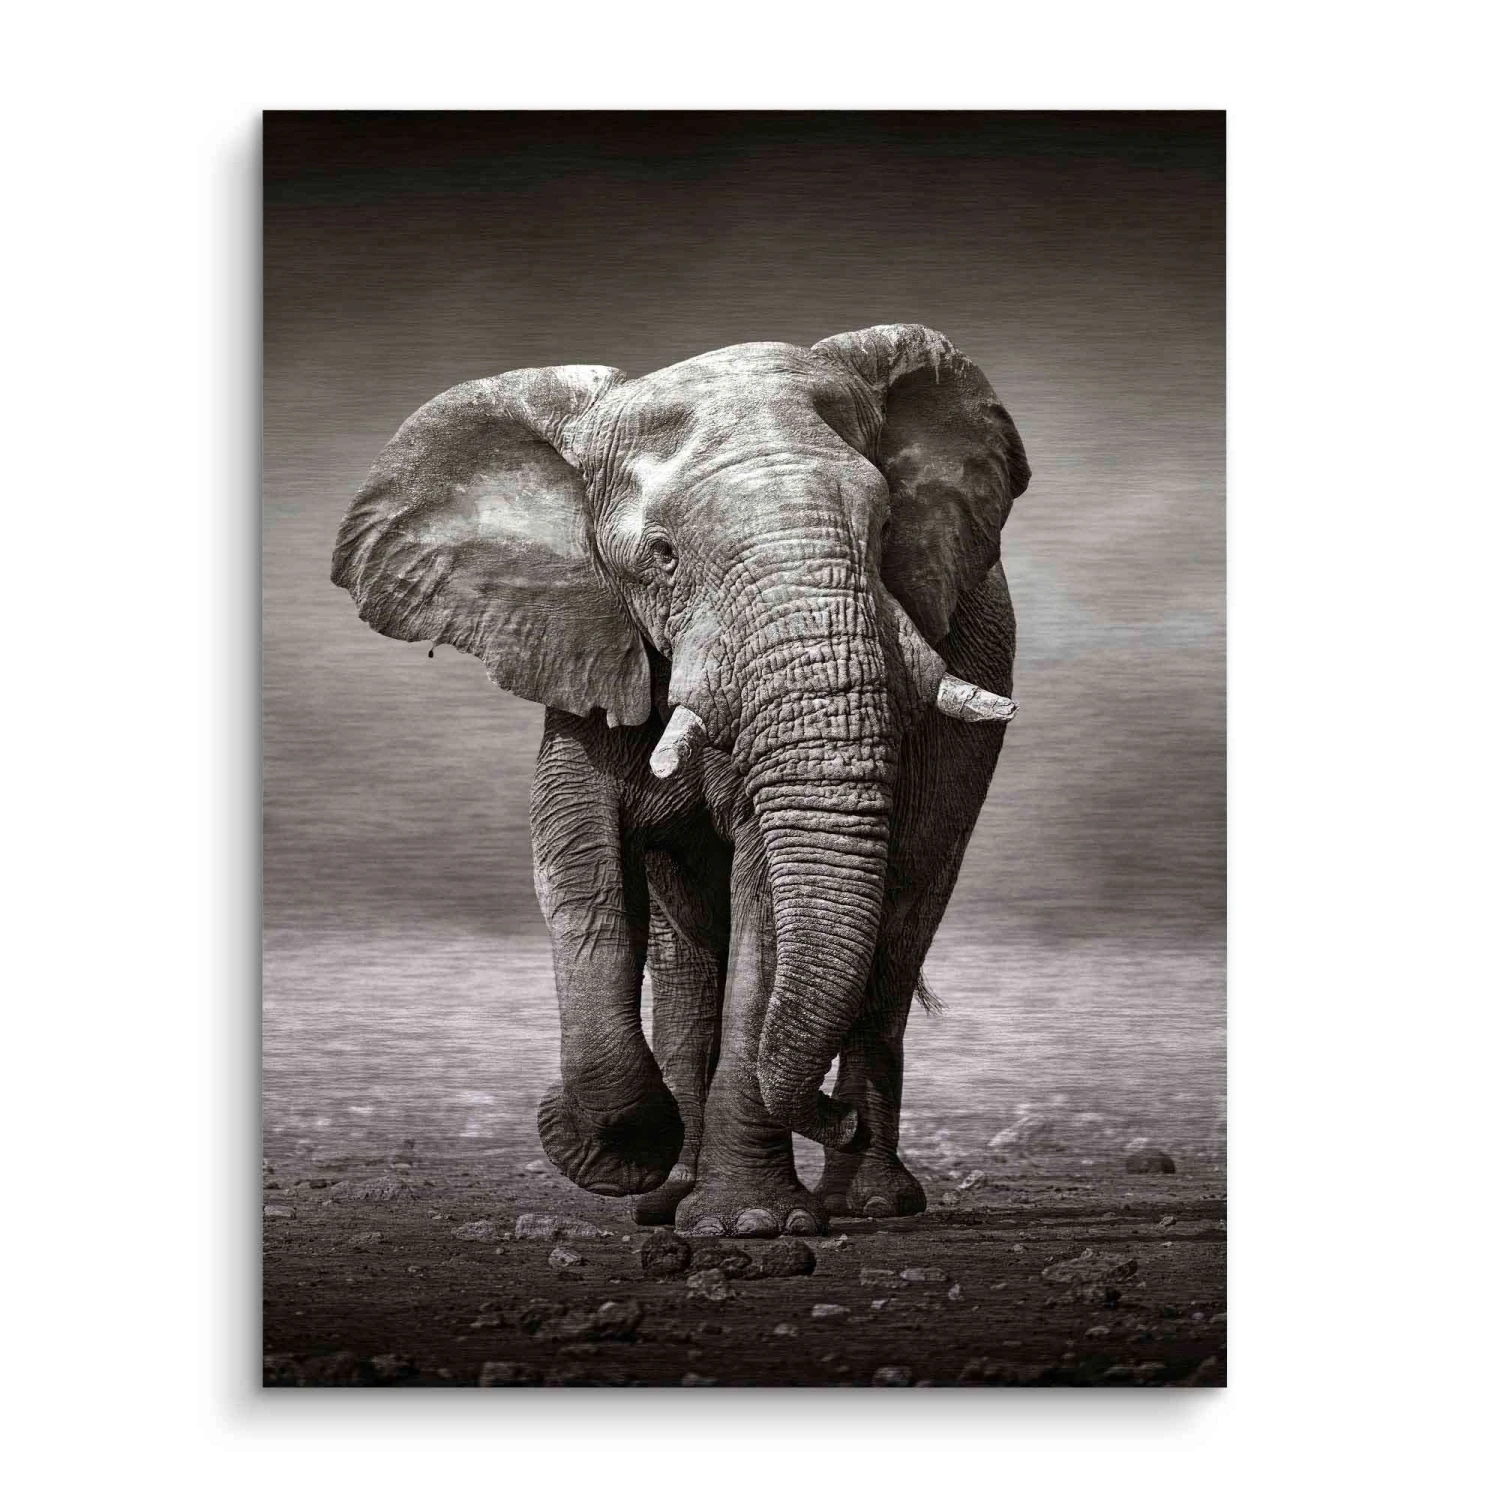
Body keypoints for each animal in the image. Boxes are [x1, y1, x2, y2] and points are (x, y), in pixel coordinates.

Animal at [331, 323, 1030, 1239]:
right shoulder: (585, 641)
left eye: (884, 533)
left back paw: (870, 1202)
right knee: (690, 958)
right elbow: (577, 862)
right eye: (661, 557)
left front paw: (749, 1225)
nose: (834, 1119)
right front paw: (615, 1155)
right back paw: (672, 1197)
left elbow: (765, 895)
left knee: (899, 927)